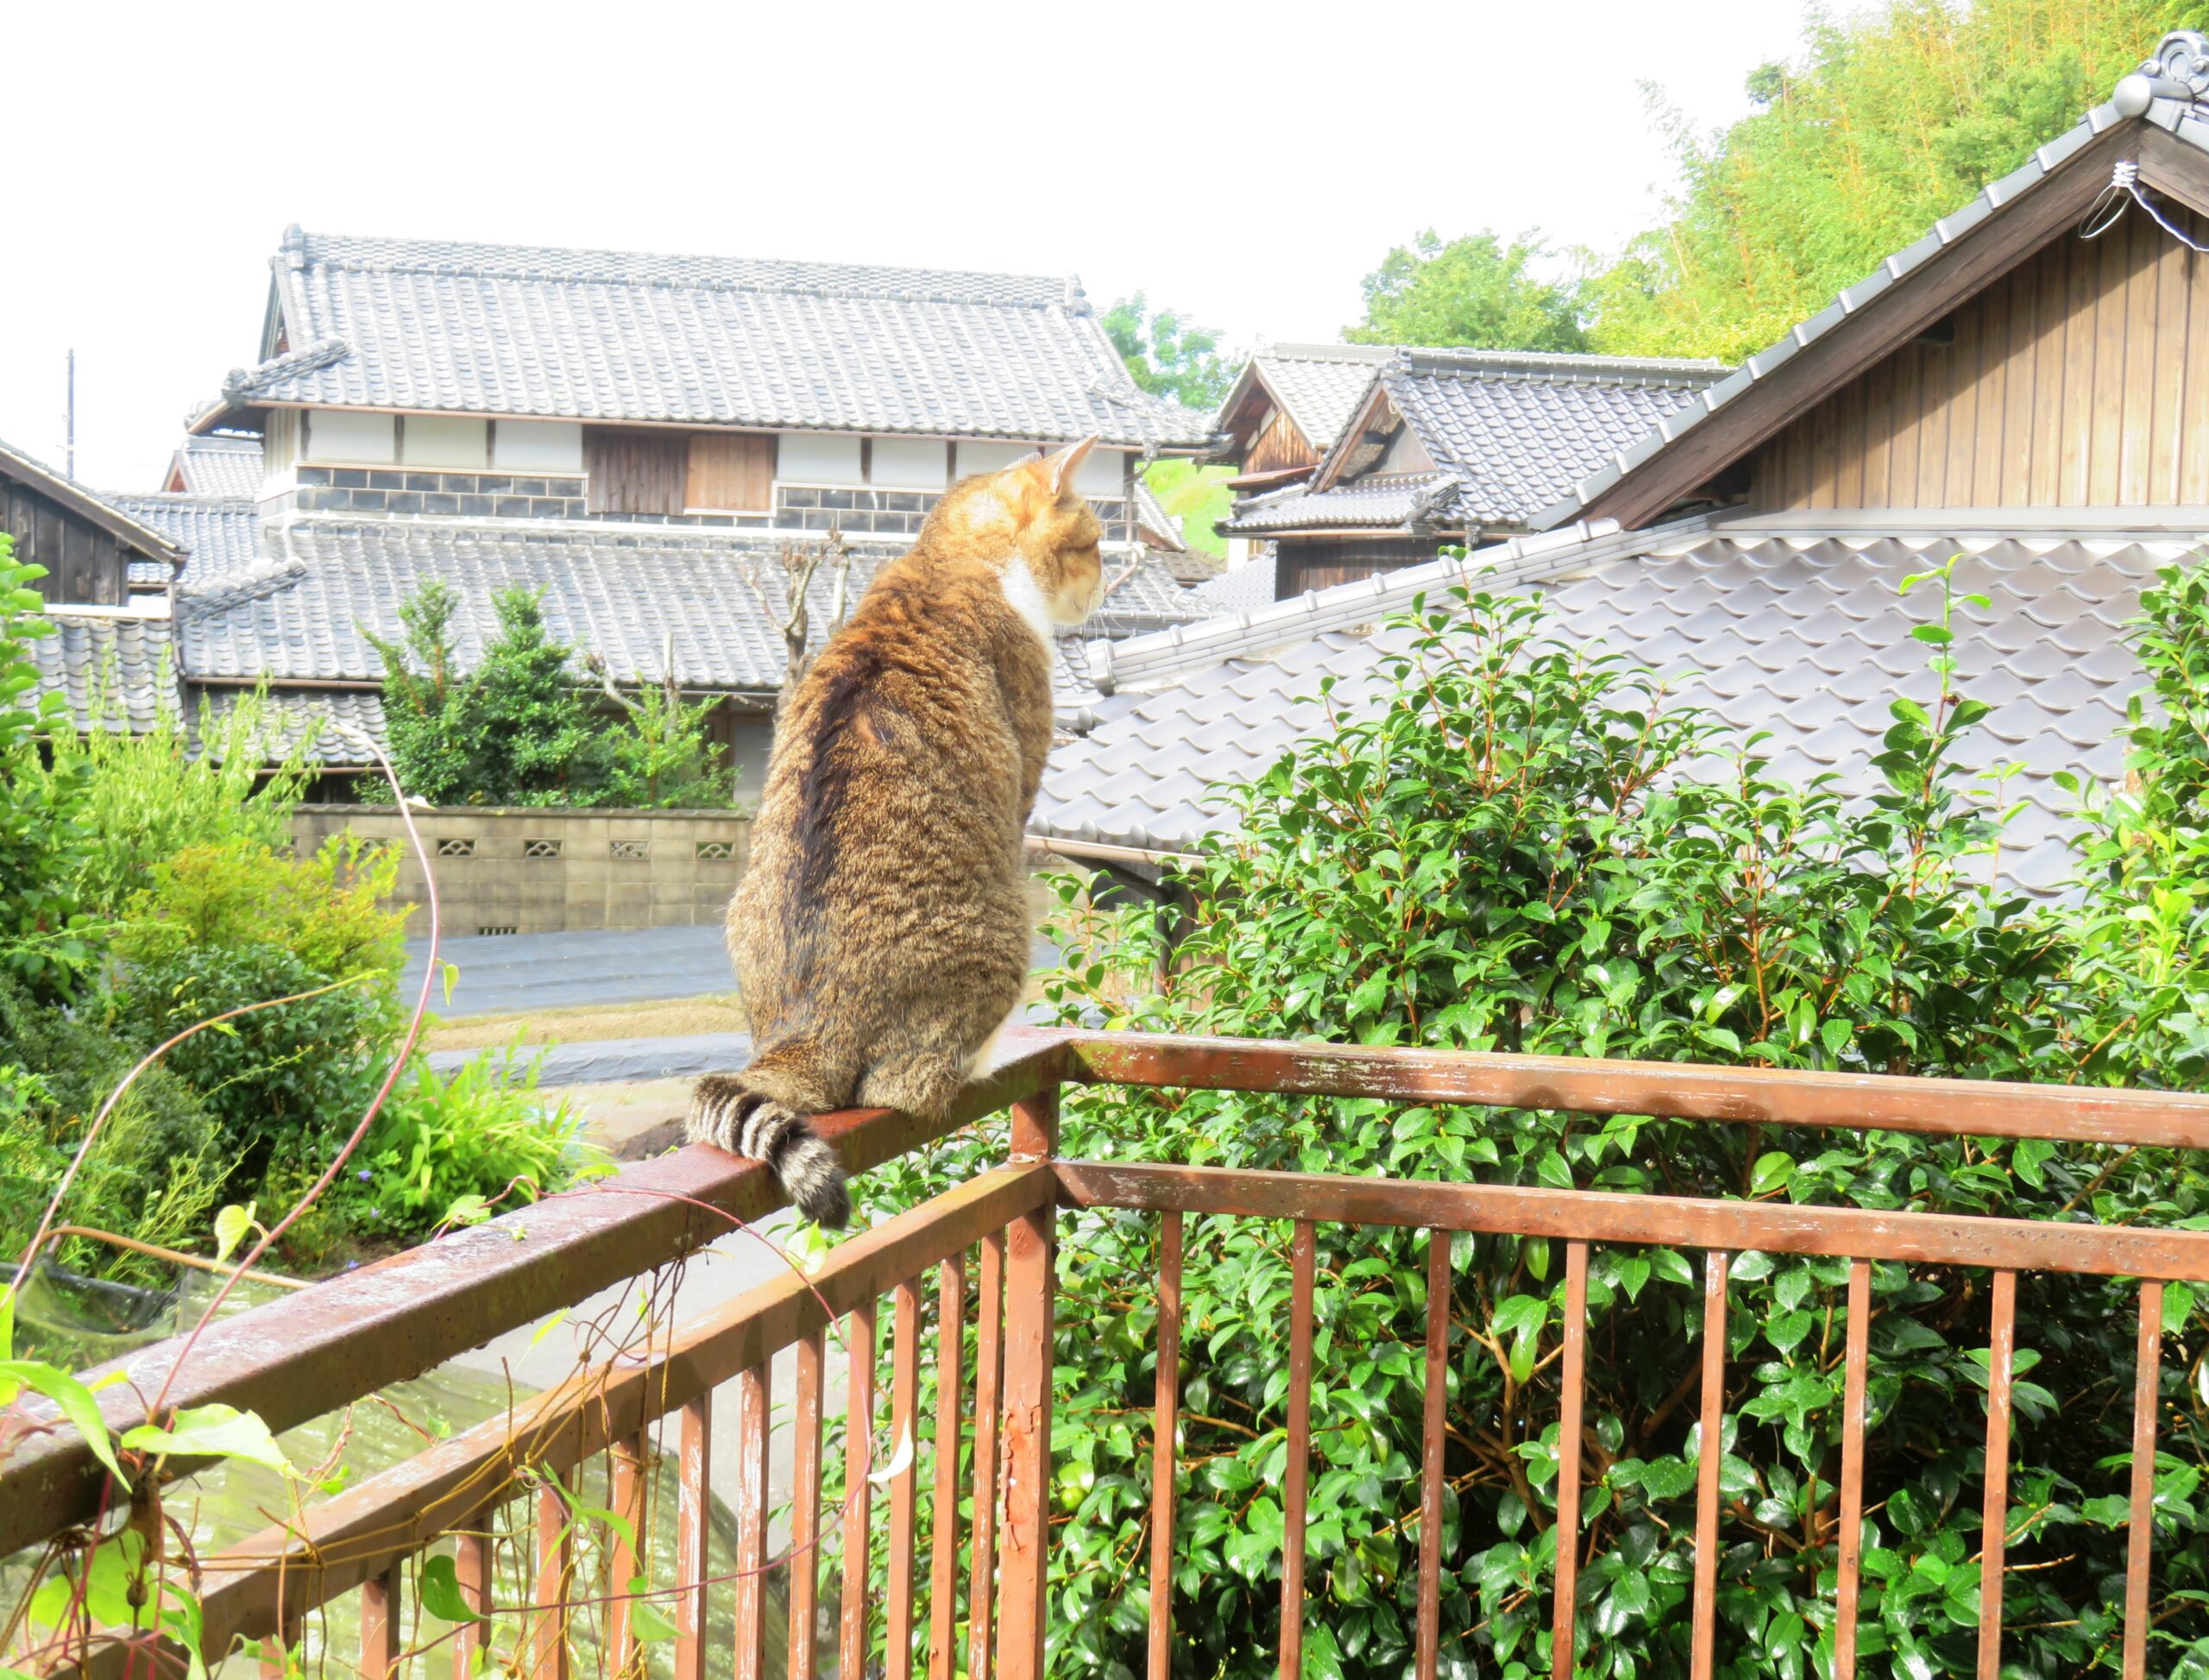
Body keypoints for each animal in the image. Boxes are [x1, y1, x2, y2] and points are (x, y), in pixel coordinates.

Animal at [684, 432, 1104, 1218]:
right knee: (903, 1084)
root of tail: (802, 1031)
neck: (945, 557)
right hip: (1005, 929)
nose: (1100, 590)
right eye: (1093, 544)